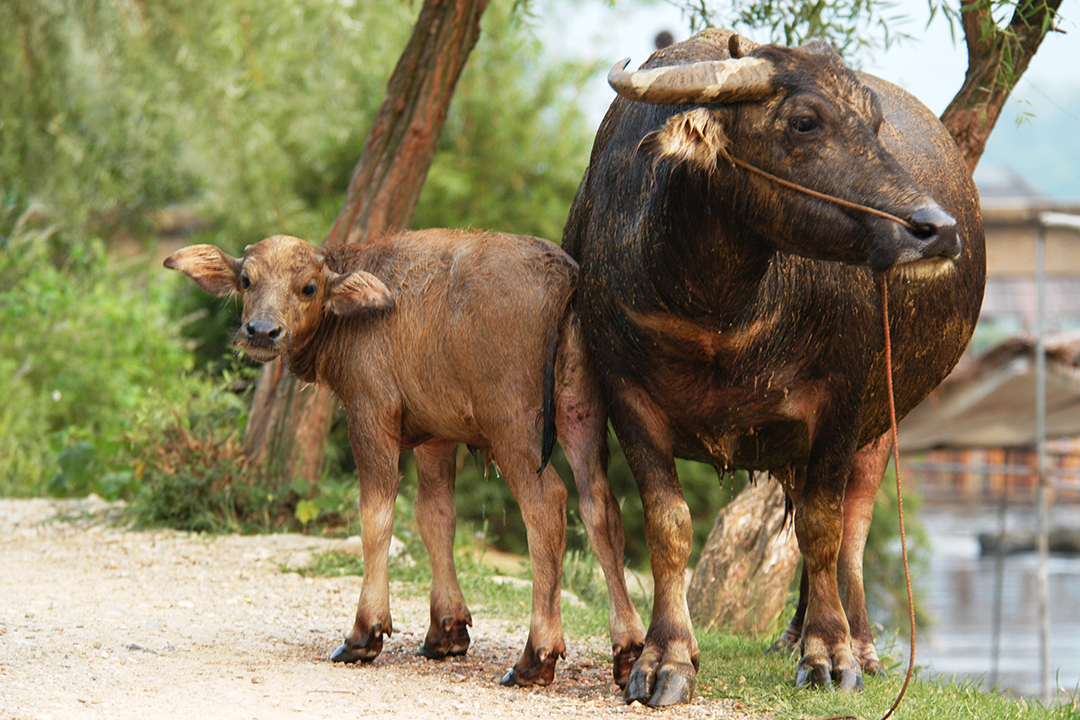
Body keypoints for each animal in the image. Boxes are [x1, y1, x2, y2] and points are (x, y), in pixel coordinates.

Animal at [561, 29, 985, 705]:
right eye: (804, 121)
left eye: (873, 122)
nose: (935, 228)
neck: (719, 309)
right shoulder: (625, 393)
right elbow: (668, 524)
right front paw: (665, 658)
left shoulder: (844, 398)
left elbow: (823, 525)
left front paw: (831, 655)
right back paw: (792, 635)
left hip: (885, 422)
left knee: (852, 523)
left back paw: (858, 644)